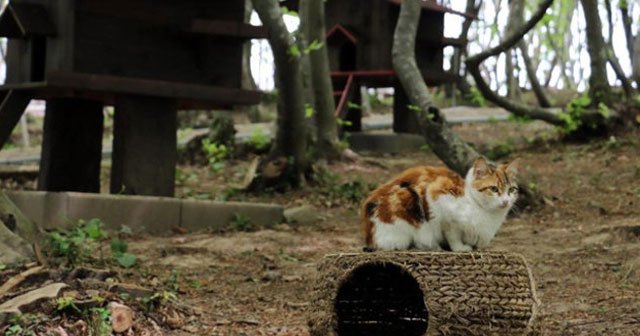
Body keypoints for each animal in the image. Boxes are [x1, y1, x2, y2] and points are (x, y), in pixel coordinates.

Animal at [362, 159, 516, 251]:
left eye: (511, 190)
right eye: (494, 189)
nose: (506, 201)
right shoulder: (439, 196)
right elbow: (453, 235)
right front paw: (460, 248)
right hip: (407, 201)